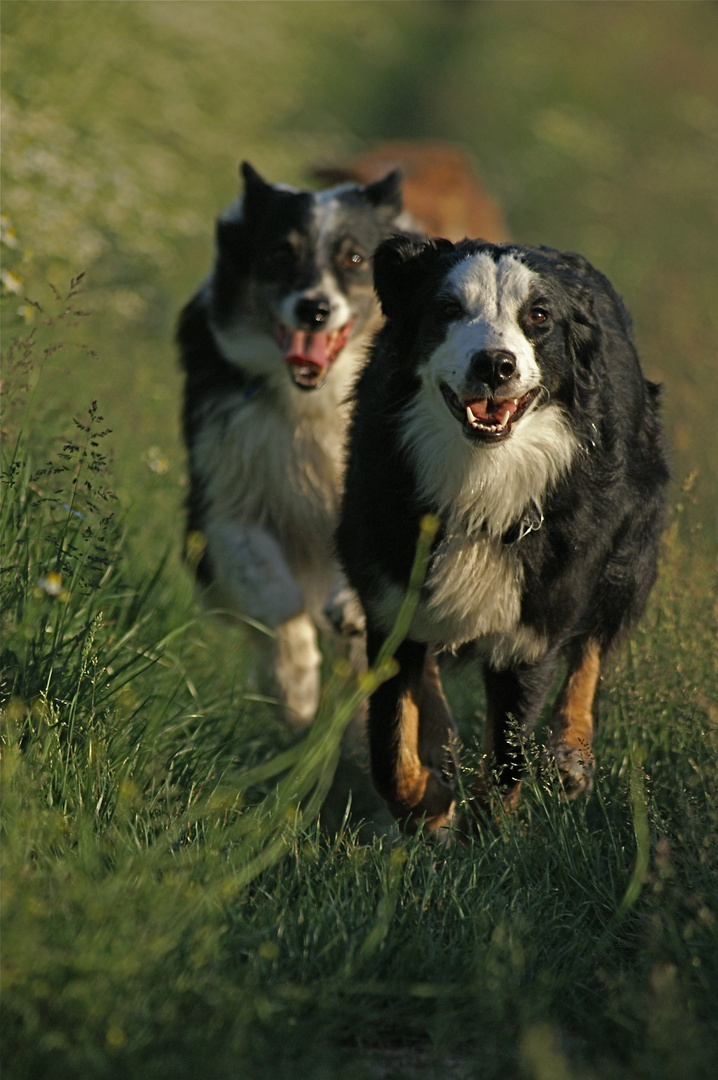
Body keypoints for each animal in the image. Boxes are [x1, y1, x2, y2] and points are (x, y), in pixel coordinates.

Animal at [177, 164, 405, 725]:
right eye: (282, 254)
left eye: (354, 258)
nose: (314, 309)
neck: (313, 403)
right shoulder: (222, 502)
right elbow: (274, 595)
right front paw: (295, 689)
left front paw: (349, 608)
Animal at [336, 234, 665, 825]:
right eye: (447, 308)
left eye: (538, 316)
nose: (495, 364)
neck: (482, 479)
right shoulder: (390, 594)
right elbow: (390, 749)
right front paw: (429, 800)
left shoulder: (530, 628)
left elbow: (506, 762)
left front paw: (487, 833)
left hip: (630, 548)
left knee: (594, 646)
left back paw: (570, 754)